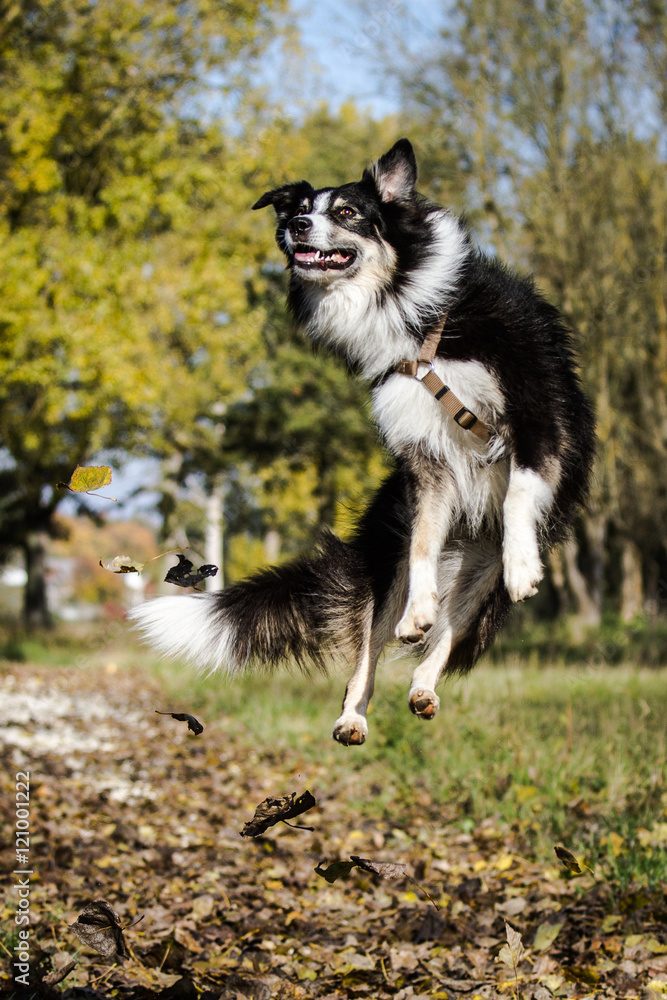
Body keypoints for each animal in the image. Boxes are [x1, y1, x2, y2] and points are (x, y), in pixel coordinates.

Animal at [130, 143, 596, 752]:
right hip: (391, 554)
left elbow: (519, 493)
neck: (417, 321)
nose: (297, 227)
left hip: (479, 569)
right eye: (299, 210)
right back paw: (357, 712)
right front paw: (418, 611)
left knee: (451, 629)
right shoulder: (426, 460)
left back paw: (424, 683)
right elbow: (421, 547)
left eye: (348, 213)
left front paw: (524, 566)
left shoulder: (536, 413)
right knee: (376, 638)